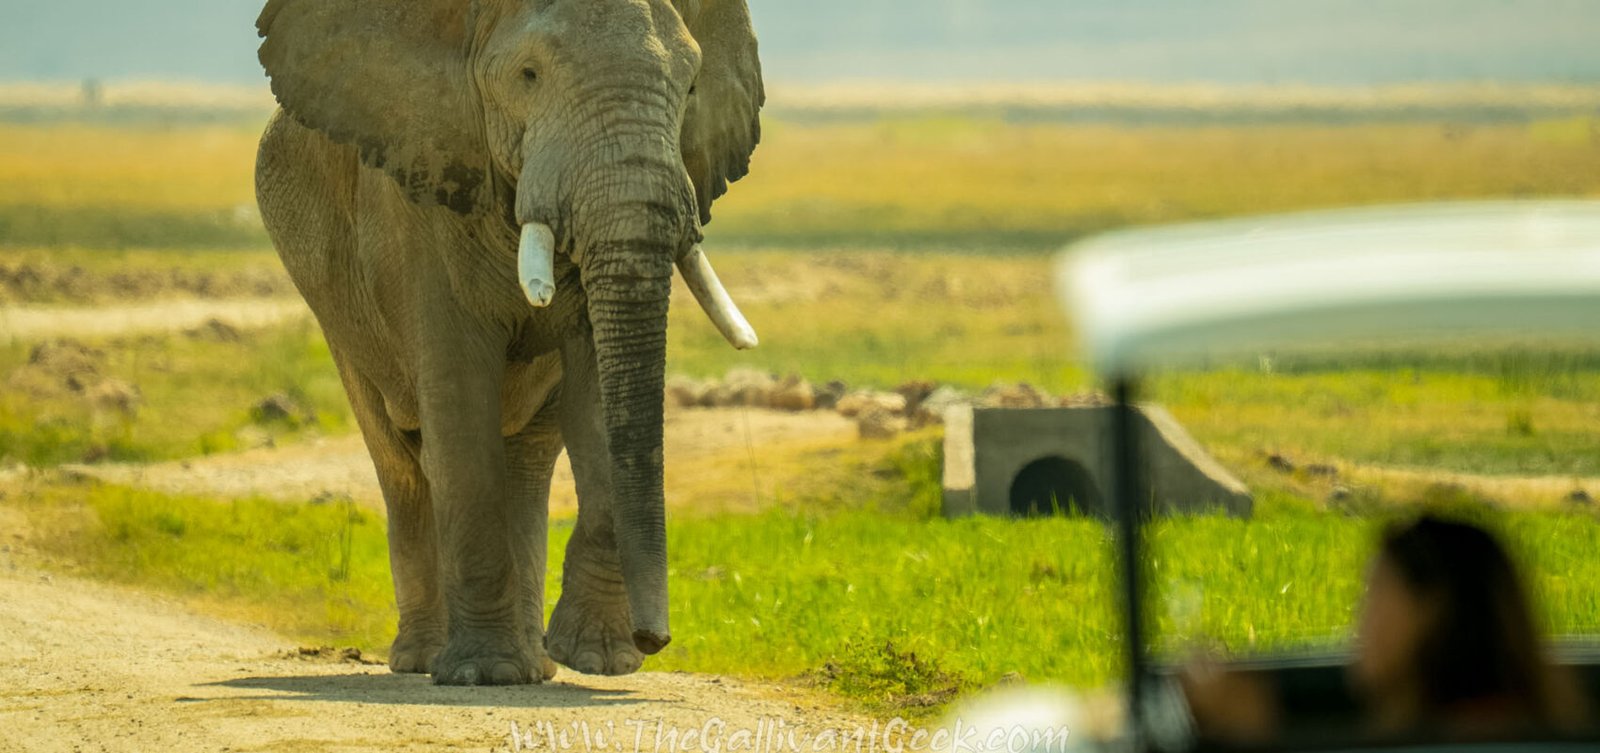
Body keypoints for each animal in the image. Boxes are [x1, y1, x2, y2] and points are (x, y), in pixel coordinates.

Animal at [253, 0, 764, 686]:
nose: (655, 637)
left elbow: (597, 398)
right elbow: (458, 400)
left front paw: (596, 660)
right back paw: (427, 660)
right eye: (528, 75)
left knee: (525, 460)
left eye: (689, 87)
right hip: (335, 308)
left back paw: (536, 666)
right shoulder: (417, 193)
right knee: (400, 459)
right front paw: (483, 674)